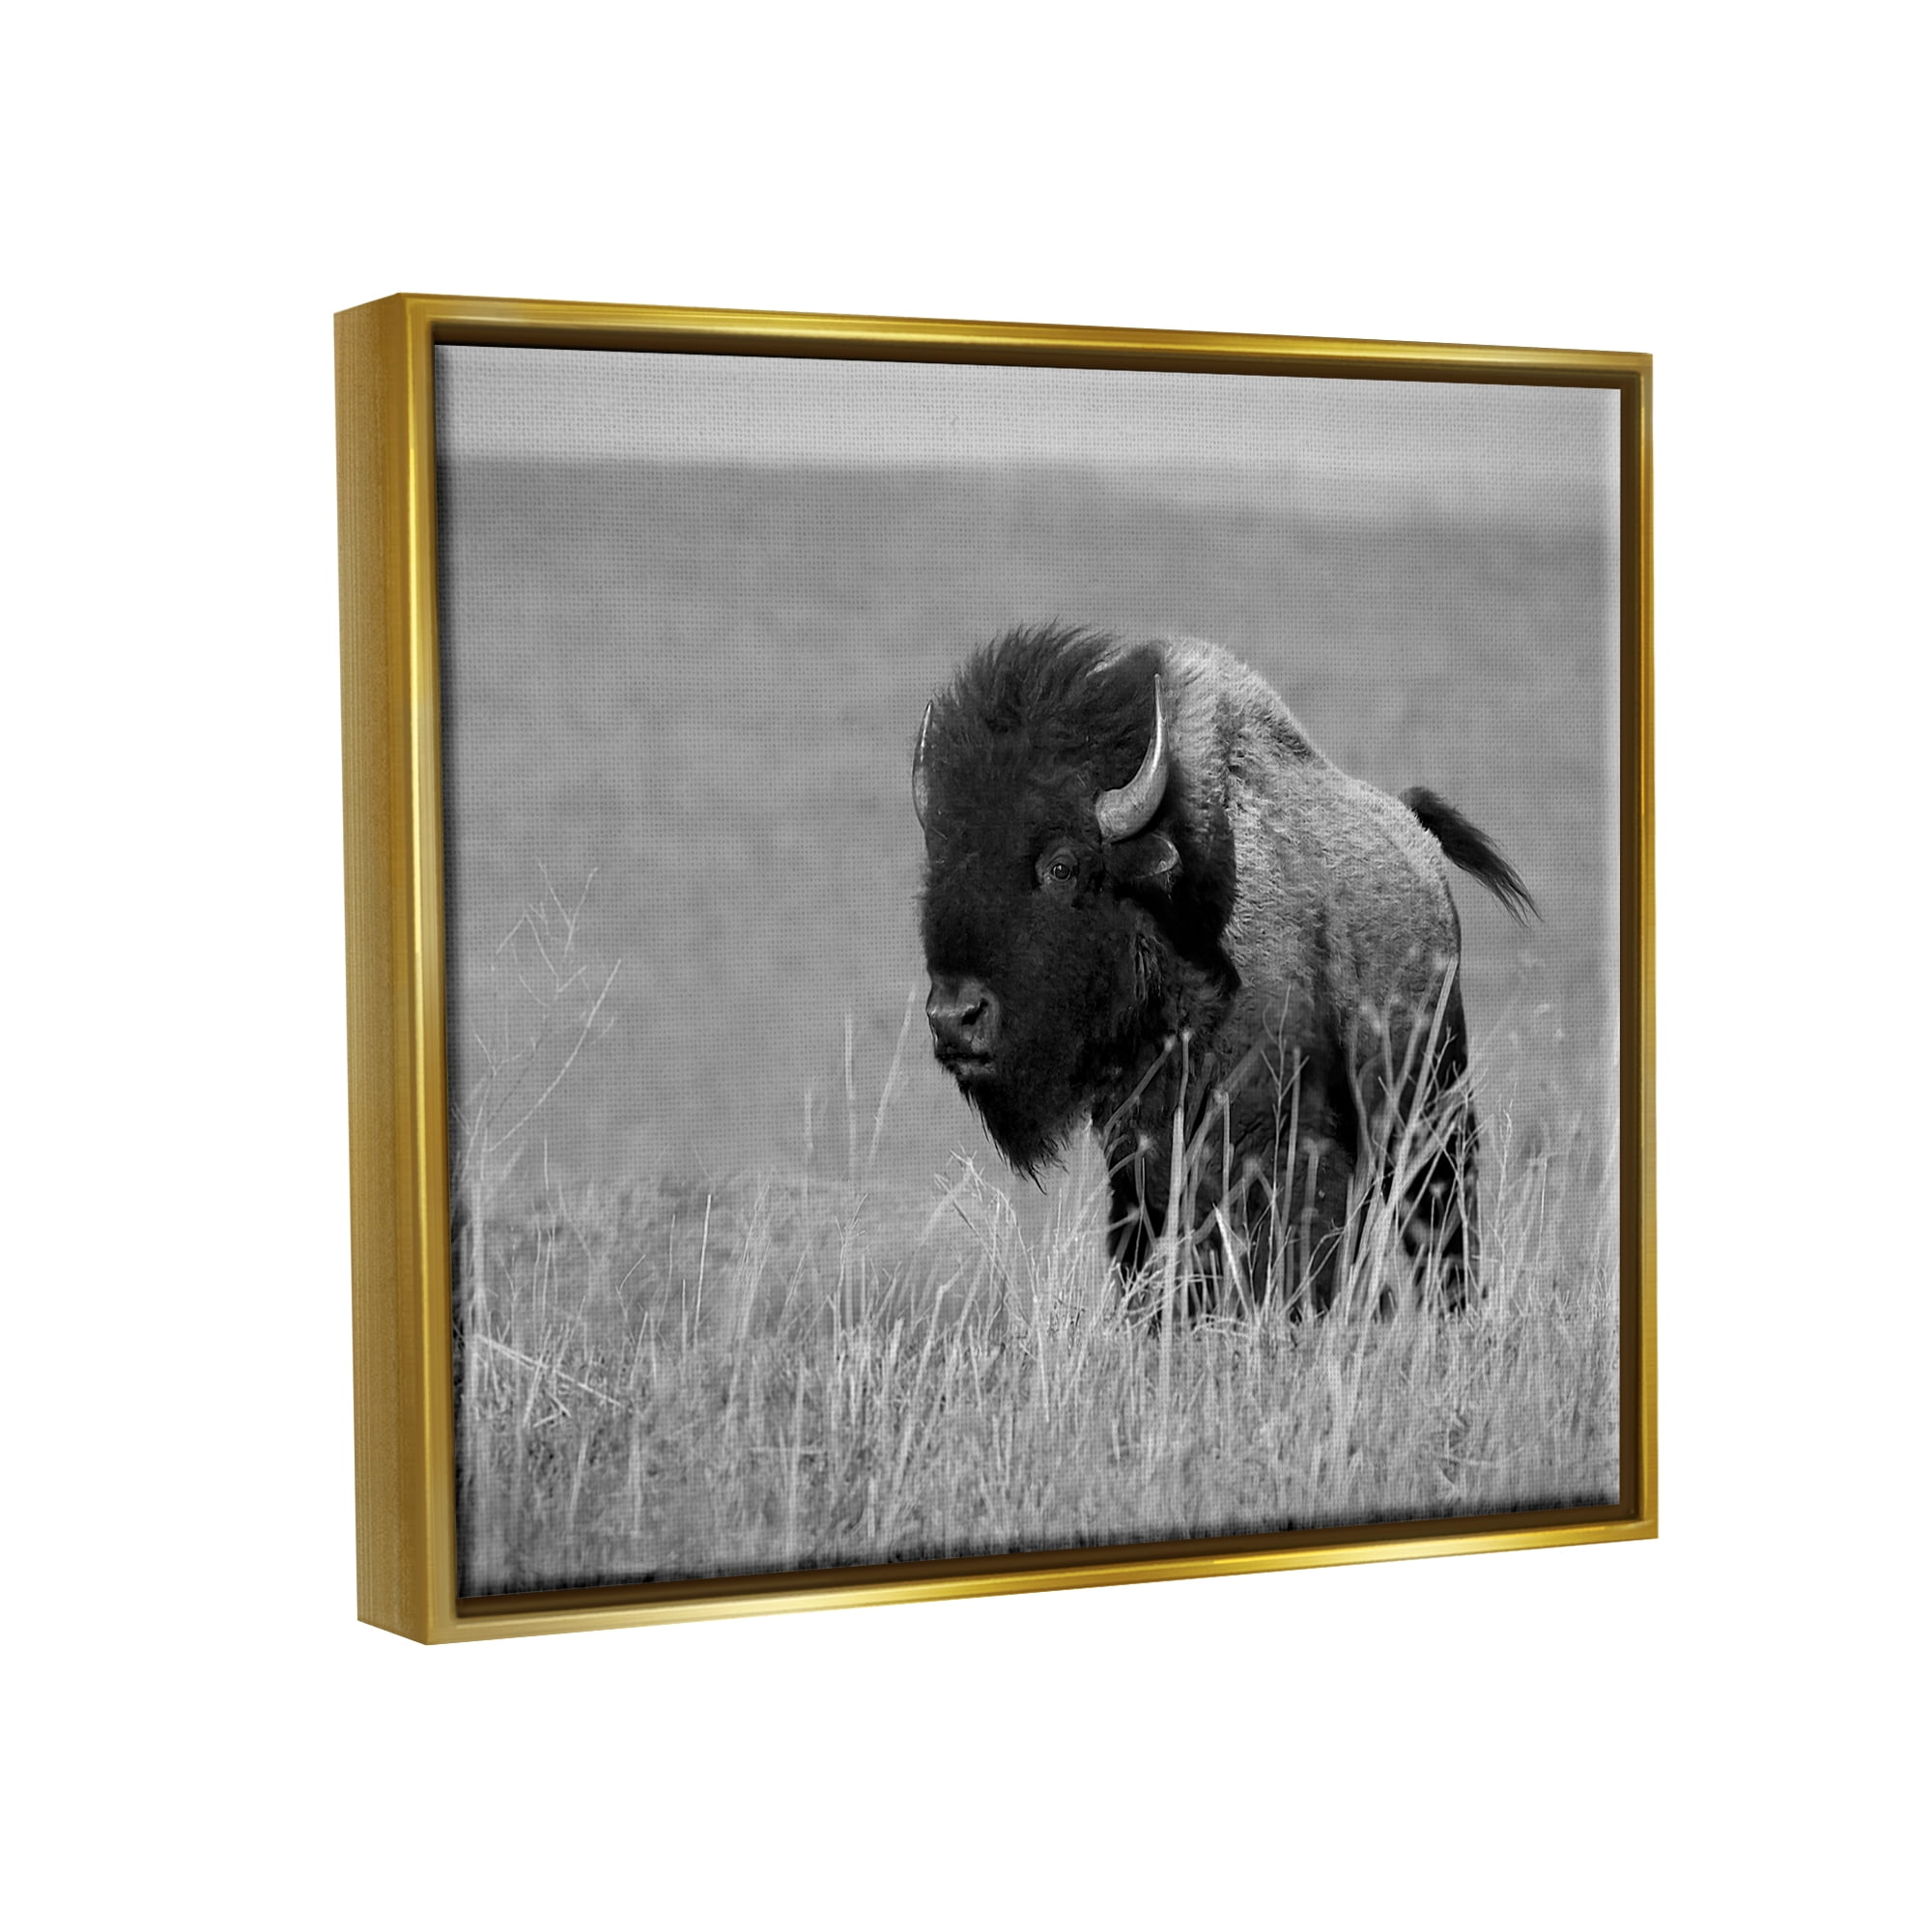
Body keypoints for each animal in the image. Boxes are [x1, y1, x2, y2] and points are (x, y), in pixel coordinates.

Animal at [912, 624, 1534, 1313]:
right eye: (941, 866)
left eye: (1062, 865)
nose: (955, 1017)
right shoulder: (1143, 1162)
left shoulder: (1292, 1145)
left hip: (1437, 1112)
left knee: (1441, 1228)